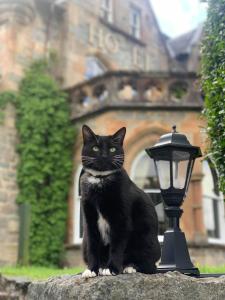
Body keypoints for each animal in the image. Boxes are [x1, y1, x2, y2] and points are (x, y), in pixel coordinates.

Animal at [80, 123, 161, 276]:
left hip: (148, 240)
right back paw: (102, 266)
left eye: (112, 149)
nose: (104, 156)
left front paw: (112, 269)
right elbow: (93, 245)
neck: (100, 180)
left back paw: (129, 267)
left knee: (149, 266)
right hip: (84, 242)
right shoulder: (90, 219)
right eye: (95, 148)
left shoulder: (121, 219)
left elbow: (117, 245)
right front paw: (92, 269)